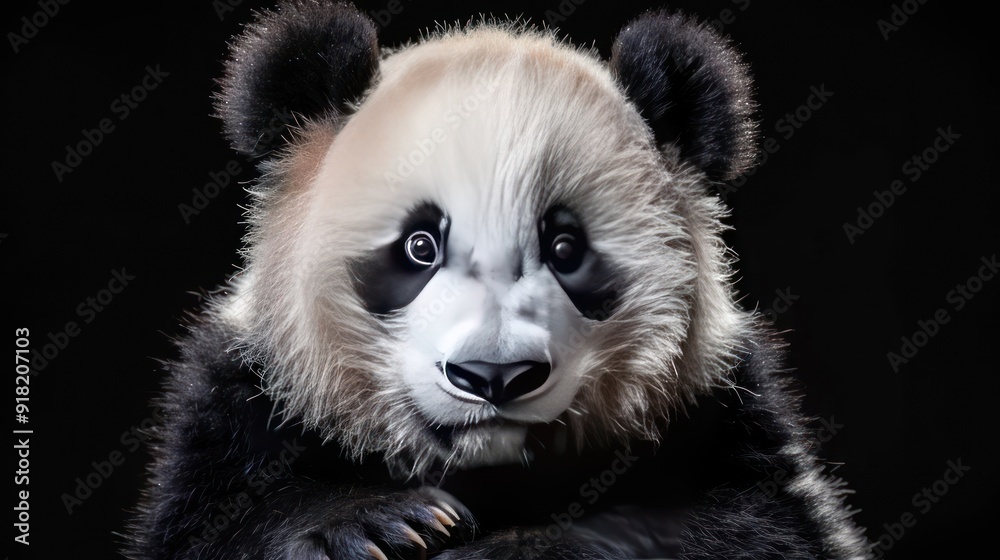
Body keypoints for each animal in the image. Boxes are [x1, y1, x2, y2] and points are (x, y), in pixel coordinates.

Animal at [127, 1, 870, 559]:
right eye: (420, 246)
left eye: (565, 247)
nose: (494, 376)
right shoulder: (241, 399)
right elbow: (208, 528)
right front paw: (379, 524)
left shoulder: (721, 410)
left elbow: (758, 528)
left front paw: (518, 545)